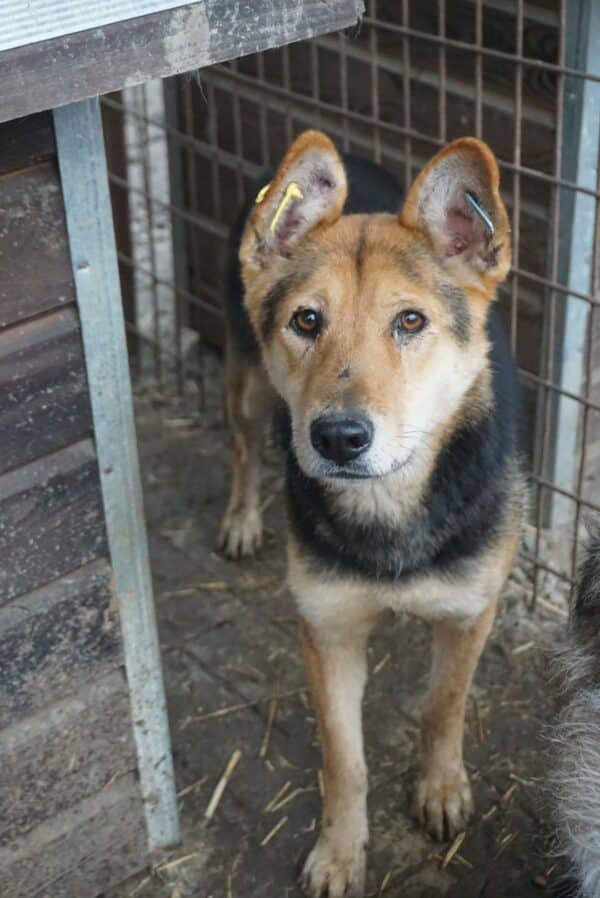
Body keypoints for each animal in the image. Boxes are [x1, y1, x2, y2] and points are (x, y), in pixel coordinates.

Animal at [218, 130, 524, 892]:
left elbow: (443, 708)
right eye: (306, 320)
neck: (389, 502)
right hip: (247, 387)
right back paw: (241, 518)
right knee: (243, 446)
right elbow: (343, 759)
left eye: (409, 321)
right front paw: (339, 852)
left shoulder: (471, 612)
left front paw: (441, 792)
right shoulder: (327, 631)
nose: (337, 438)